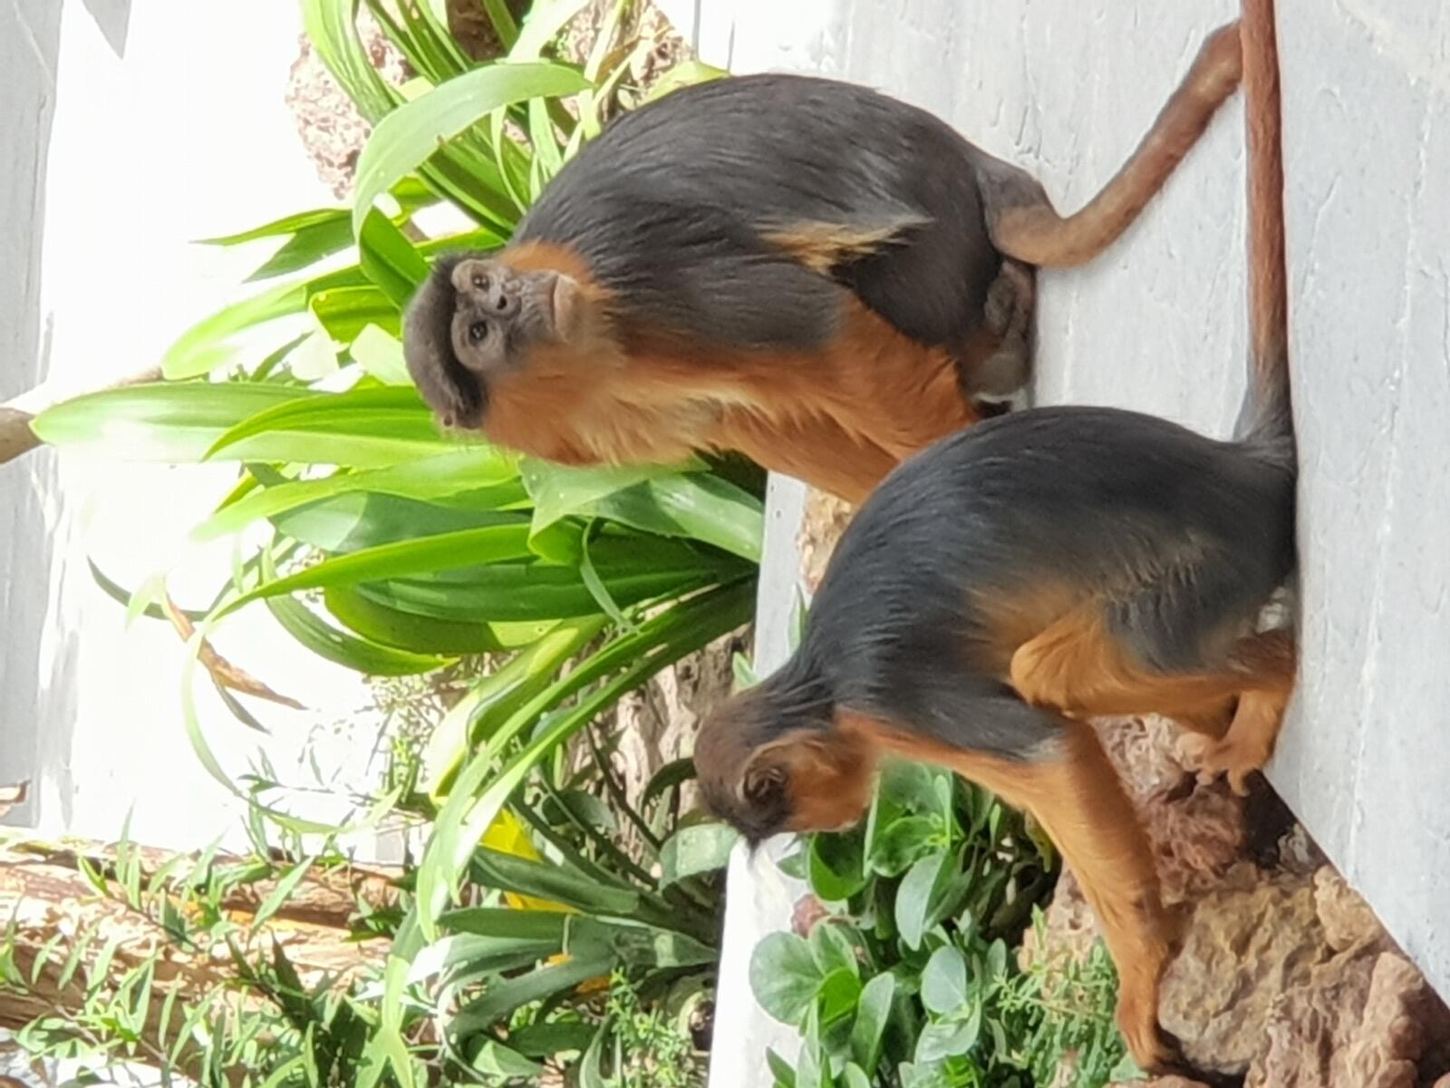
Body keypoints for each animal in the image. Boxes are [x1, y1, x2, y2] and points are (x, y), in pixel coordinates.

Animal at [403, 23, 1244, 504]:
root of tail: (974, 165)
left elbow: (822, 326)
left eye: (485, 290)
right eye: (475, 333)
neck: (598, 350)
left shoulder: (637, 273)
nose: (506, 302)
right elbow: (764, 417)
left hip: (936, 248)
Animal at [692, 0, 1292, 1072]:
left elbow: (1049, 749)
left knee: (1058, 673)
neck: (822, 678)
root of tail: (1240, 471)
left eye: (791, 804)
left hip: (1201, 569)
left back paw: (1272, 678)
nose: (828, 824)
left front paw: (1145, 976)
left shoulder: (887, 703)